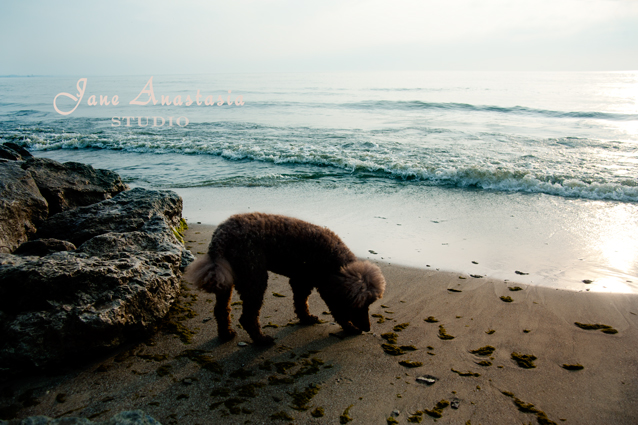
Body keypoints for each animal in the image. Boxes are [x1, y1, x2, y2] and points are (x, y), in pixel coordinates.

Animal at [182, 212, 388, 344]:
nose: (367, 329)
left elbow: (301, 303)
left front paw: (306, 318)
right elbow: (337, 312)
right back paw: (261, 340)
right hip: (254, 277)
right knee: (248, 317)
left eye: (368, 305)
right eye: (358, 306)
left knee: (221, 310)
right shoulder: (322, 289)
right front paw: (350, 328)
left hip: (228, 277)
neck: (335, 262)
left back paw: (226, 334)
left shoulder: (301, 280)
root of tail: (220, 236)